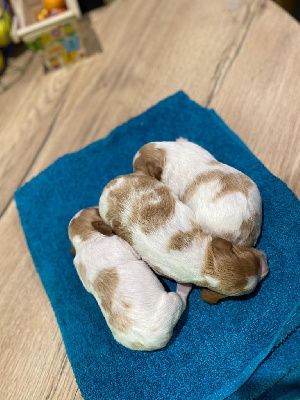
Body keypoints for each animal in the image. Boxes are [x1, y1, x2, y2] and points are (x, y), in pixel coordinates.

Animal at [68, 206, 190, 350]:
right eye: (96, 210)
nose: (98, 206)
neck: (85, 239)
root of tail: (148, 344)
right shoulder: (122, 245)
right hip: (173, 302)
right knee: (182, 301)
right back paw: (184, 287)